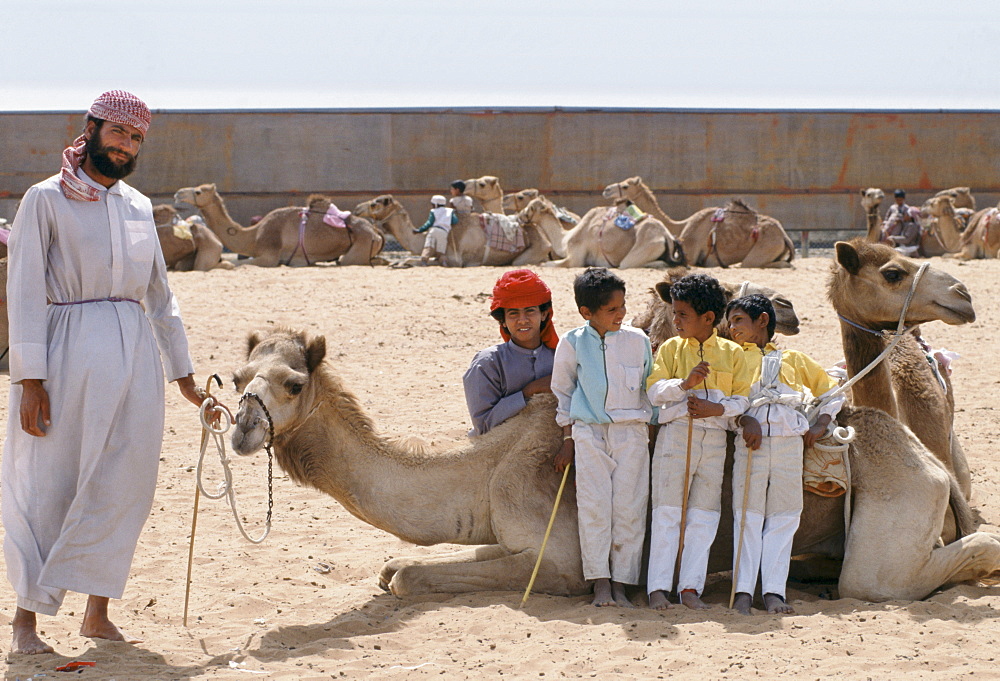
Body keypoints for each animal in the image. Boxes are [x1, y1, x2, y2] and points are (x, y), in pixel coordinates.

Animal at [232, 322, 1000, 604]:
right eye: (237, 372)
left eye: (292, 383)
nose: (240, 426)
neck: (486, 470)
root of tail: (929, 464)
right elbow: (406, 563)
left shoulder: (563, 561)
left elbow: (408, 575)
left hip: (891, 530)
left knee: (894, 574)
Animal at [354, 193, 564, 266]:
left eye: (375, 203)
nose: (357, 208)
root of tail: (546, 238)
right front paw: (396, 263)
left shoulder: (454, 259)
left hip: (532, 251)